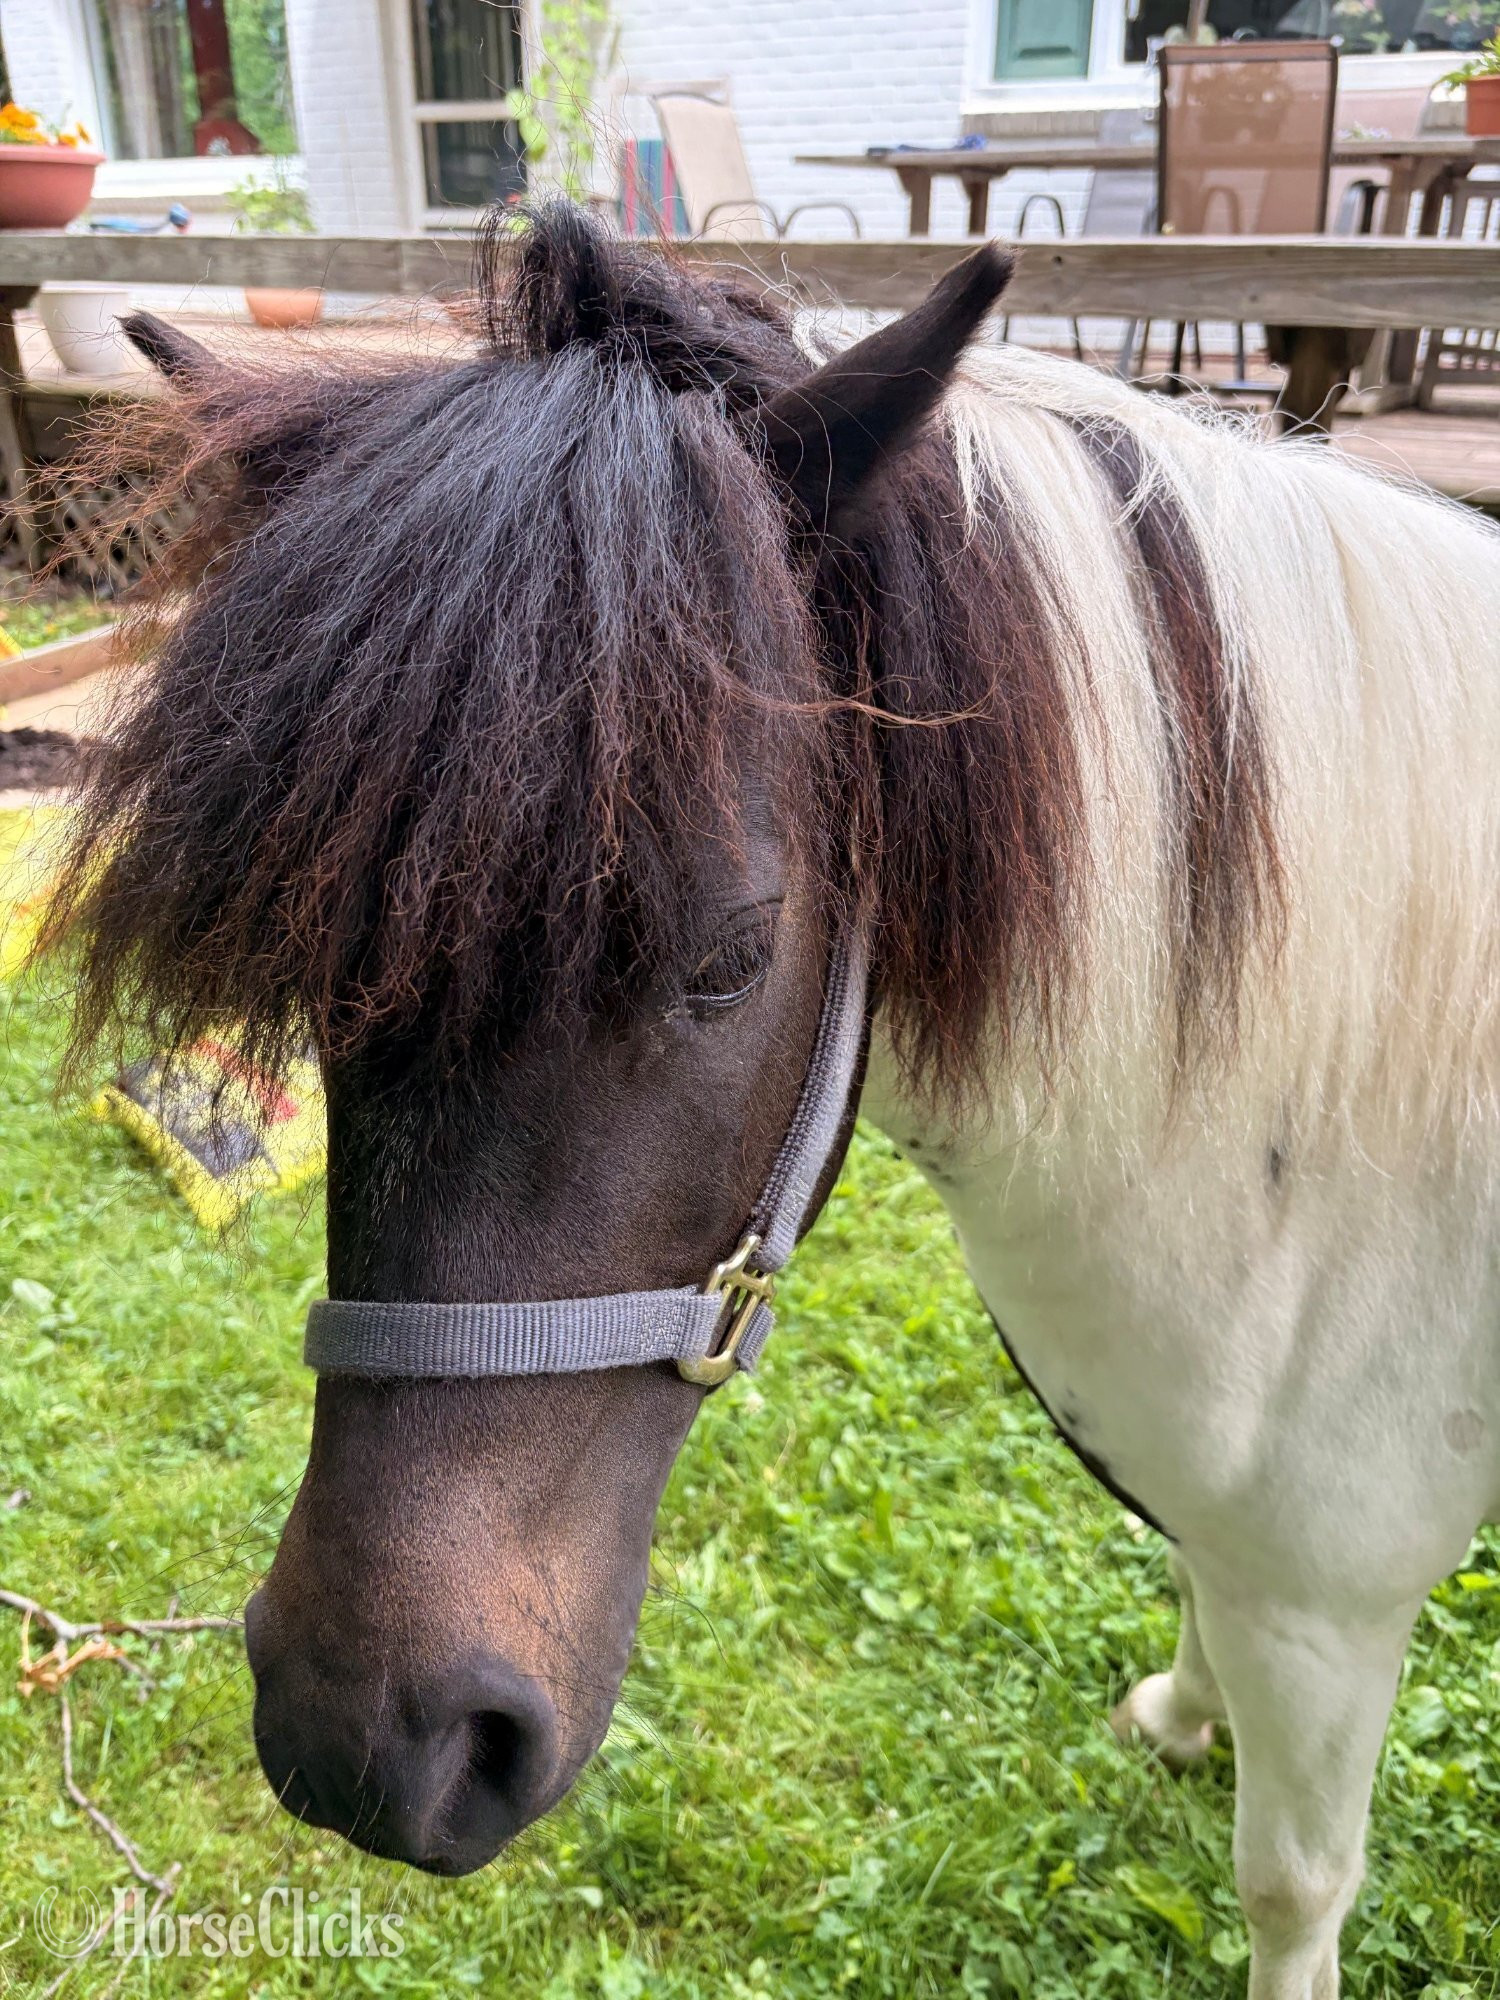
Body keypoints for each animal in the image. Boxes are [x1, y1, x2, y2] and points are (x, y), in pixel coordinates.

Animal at [47, 202, 1500, 2000]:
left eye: (731, 954)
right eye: (326, 962)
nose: (366, 1744)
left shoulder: (1328, 1597)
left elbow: (1293, 1886)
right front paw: (1181, 1709)